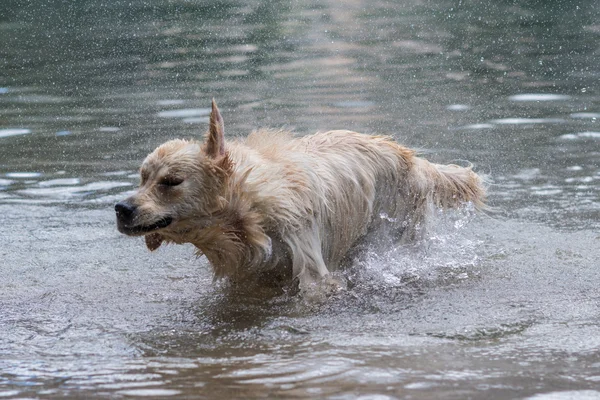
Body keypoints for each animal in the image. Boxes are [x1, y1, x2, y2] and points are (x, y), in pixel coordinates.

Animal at [115, 100, 486, 294]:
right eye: (143, 177)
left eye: (171, 181)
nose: (121, 208)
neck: (249, 211)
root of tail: (415, 159)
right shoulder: (247, 273)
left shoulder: (311, 269)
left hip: (392, 234)